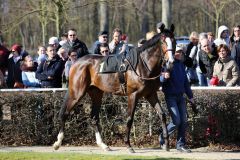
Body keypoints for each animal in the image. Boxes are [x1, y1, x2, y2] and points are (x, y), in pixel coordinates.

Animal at [53, 24, 176, 152]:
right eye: (163, 41)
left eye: (173, 41)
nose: (171, 61)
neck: (142, 65)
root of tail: (76, 62)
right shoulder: (133, 95)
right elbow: (129, 119)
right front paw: (128, 145)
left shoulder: (150, 94)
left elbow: (162, 115)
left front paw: (166, 144)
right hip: (77, 93)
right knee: (65, 113)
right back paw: (58, 142)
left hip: (96, 94)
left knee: (94, 117)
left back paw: (103, 144)